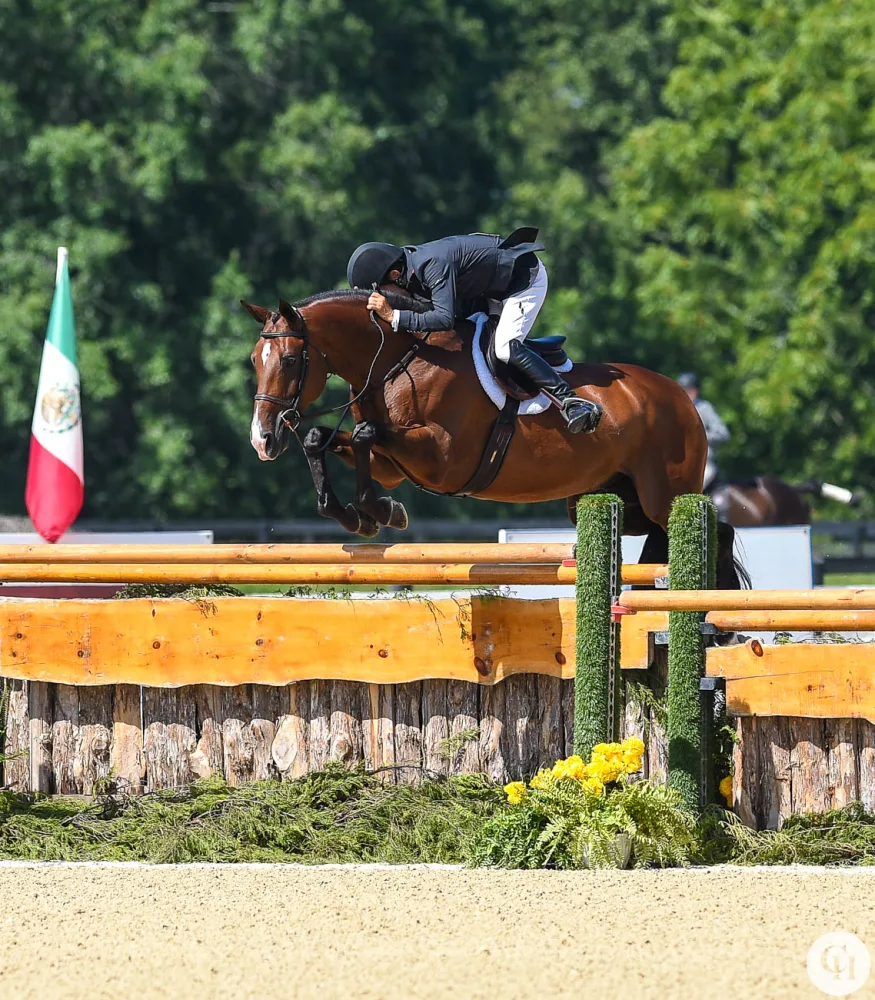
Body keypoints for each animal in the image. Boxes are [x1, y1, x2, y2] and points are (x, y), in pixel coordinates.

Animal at [243, 290, 746, 588]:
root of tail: (679, 396)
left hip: (666, 492)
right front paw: (359, 515)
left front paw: (378, 511)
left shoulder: (441, 459)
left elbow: (366, 435)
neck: (395, 361)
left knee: (714, 527)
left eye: (289, 360)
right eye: (254, 359)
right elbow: (320, 437)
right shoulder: (392, 465)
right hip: (615, 497)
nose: (263, 440)